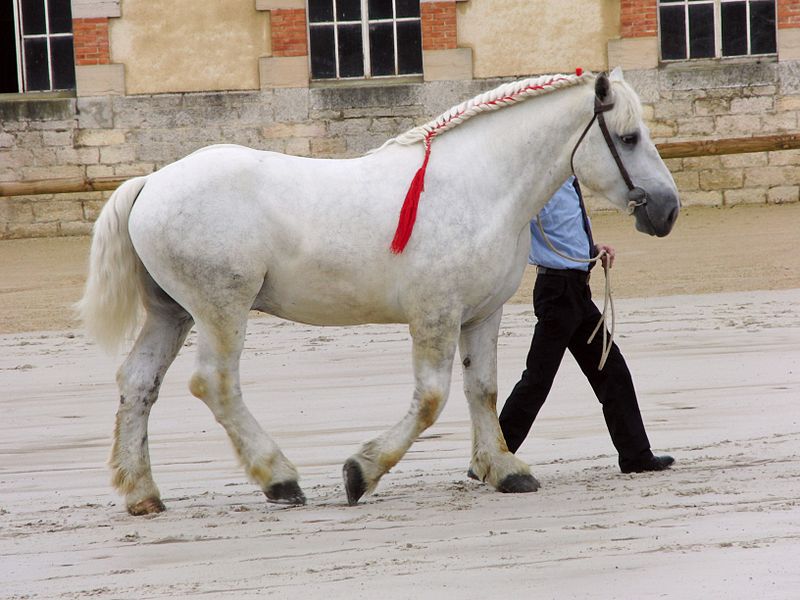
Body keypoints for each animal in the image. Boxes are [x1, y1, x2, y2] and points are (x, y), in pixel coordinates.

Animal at [78, 68, 676, 512]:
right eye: (628, 138)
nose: (668, 210)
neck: (478, 185)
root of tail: (151, 182)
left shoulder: (480, 316)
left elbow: (482, 390)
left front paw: (504, 470)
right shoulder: (435, 315)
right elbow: (431, 399)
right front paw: (360, 472)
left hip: (172, 313)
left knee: (139, 384)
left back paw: (142, 493)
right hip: (221, 311)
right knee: (215, 385)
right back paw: (279, 479)